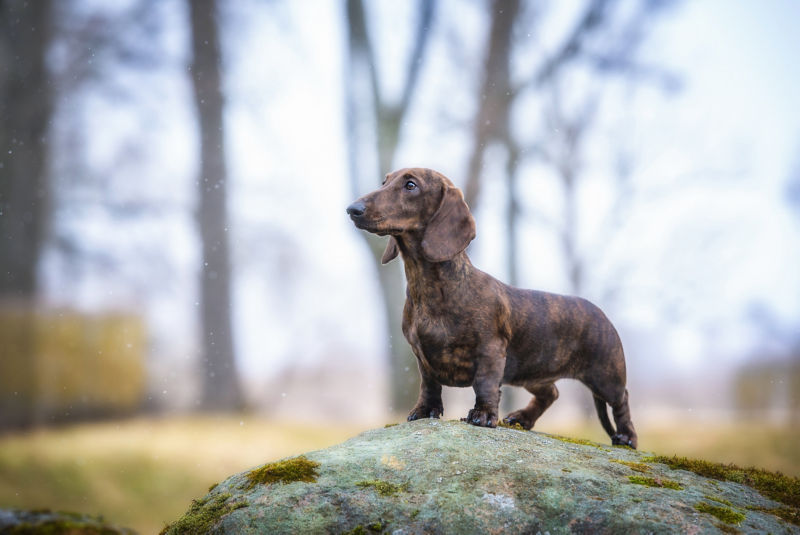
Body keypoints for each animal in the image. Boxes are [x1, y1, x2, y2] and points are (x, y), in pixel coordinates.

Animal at [344, 166, 636, 448]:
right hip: (532, 374)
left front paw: (482, 415)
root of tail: (603, 315)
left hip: (605, 376)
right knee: (551, 393)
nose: (352, 209)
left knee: (621, 400)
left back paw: (626, 437)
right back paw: (522, 418)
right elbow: (429, 385)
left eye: (411, 185)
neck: (431, 288)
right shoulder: (421, 356)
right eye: (384, 182)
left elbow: (484, 383)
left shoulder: (490, 349)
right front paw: (424, 411)